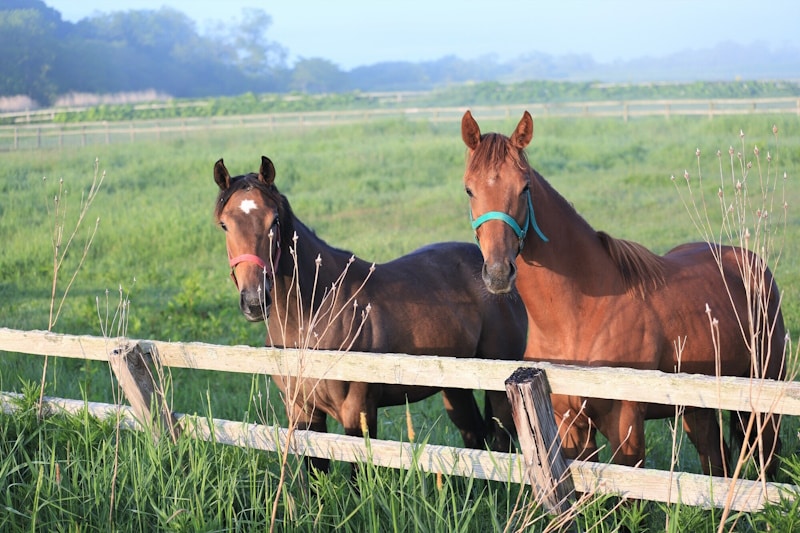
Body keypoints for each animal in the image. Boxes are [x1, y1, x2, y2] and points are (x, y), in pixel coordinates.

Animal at [213, 156, 528, 472]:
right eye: (224, 225)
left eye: (274, 221)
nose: (254, 300)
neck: (314, 315)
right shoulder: (303, 412)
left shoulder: (358, 411)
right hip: (455, 388)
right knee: (473, 438)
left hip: (499, 390)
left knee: (502, 444)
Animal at [459, 110, 785, 478]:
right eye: (469, 189)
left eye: (524, 186)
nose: (499, 272)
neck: (578, 316)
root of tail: (753, 264)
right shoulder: (569, 424)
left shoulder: (625, 424)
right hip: (696, 408)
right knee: (716, 460)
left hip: (763, 397)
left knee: (768, 460)